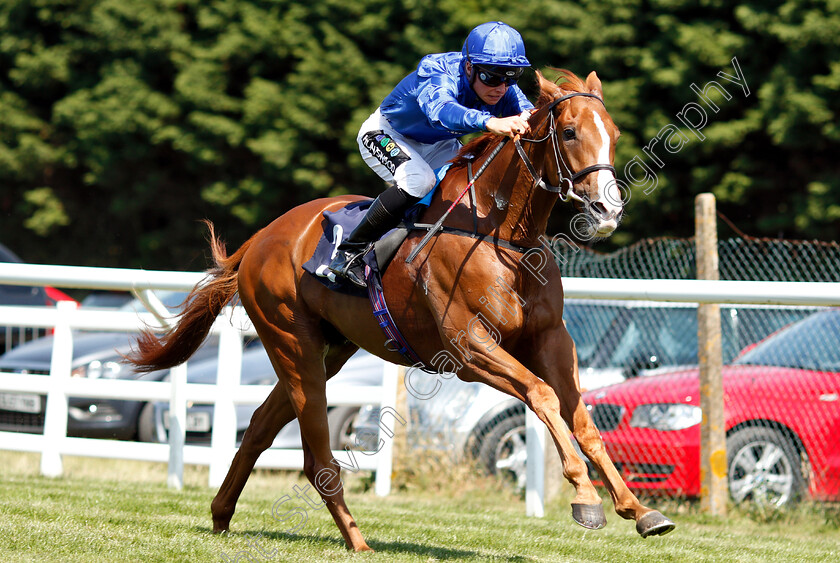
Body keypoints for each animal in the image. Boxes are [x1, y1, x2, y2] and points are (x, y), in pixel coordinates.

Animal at [126, 70, 676, 552]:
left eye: (614, 134)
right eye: (569, 131)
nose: (608, 210)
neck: (498, 234)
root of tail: (262, 238)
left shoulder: (550, 339)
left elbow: (580, 418)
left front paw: (638, 508)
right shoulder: (469, 348)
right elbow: (542, 396)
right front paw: (585, 497)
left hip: (331, 349)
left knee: (261, 425)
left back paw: (221, 516)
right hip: (292, 342)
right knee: (316, 456)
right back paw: (357, 541)